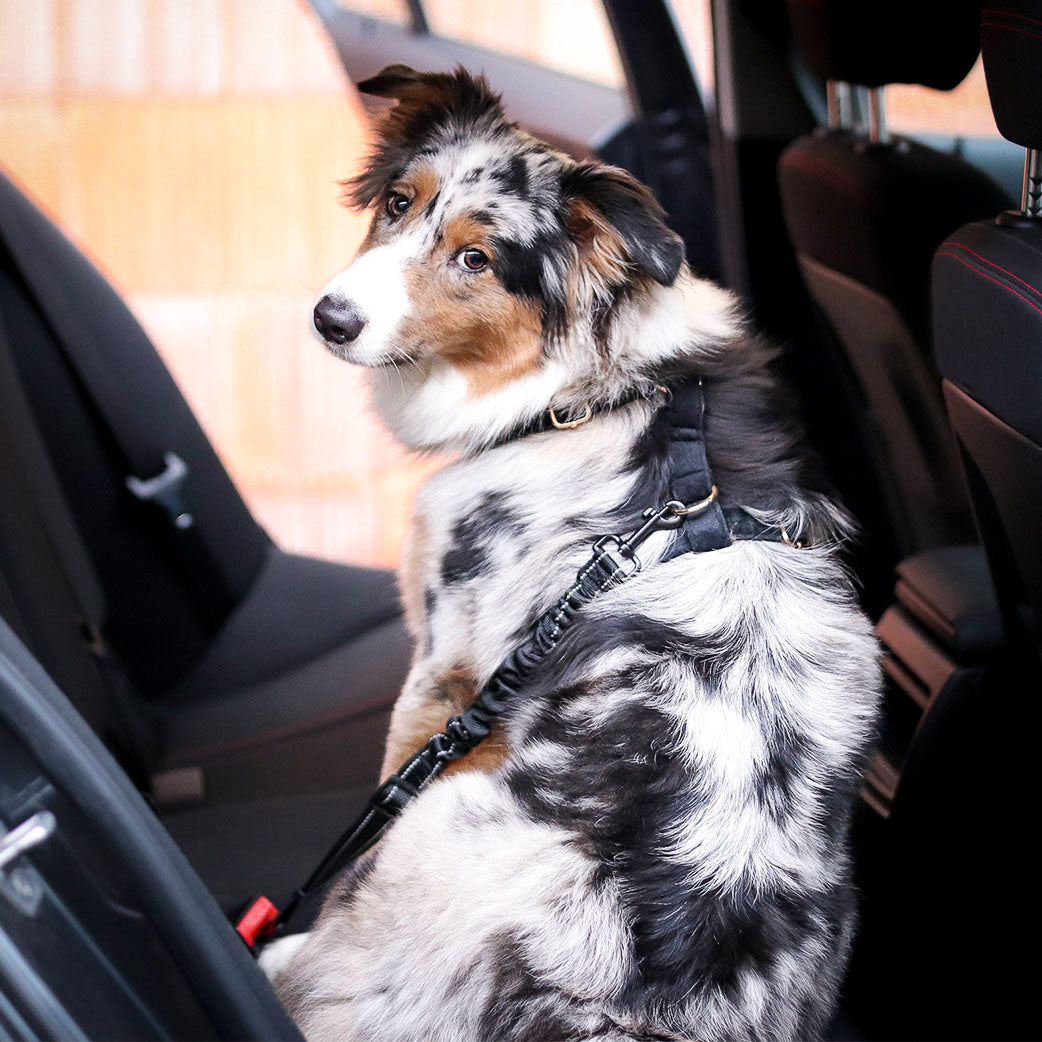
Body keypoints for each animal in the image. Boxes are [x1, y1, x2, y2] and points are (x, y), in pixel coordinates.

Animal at [264, 67, 883, 1042]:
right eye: (399, 202)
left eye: (477, 259)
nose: (331, 319)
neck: (588, 394)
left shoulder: (445, 667)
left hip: (431, 835)